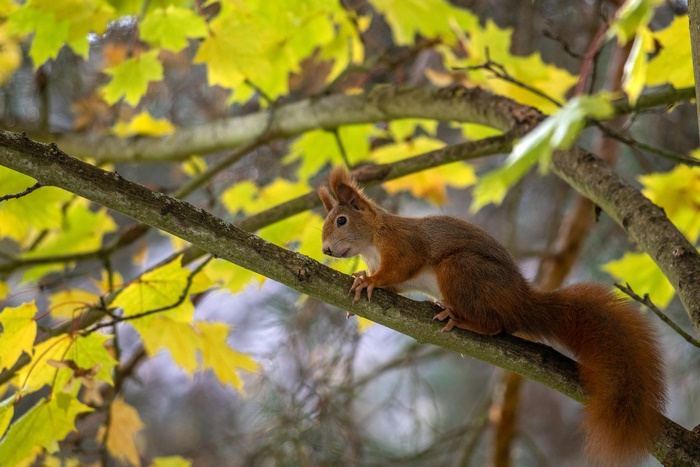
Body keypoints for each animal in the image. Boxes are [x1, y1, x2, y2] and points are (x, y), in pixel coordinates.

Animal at [318, 167, 666, 466]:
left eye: (341, 221)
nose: (325, 251)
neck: (372, 239)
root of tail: (520, 301)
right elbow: (396, 284)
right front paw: (362, 277)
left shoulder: (403, 245)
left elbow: (399, 268)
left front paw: (369, 281)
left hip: (461, 270)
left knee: (495, 326)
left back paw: (462, 319)